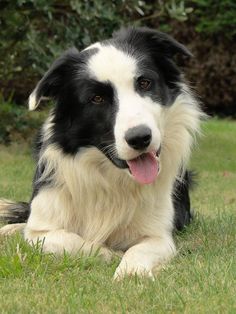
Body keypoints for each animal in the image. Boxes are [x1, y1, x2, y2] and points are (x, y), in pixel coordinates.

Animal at [0, 27, 204, 280]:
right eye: (97, 98)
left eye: (145, 83)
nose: (140, 138)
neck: (110, 177)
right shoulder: (41, 231)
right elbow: (72, 240)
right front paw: (110, 253)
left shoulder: (160, 236)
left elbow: (140, 249)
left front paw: (130, 273)